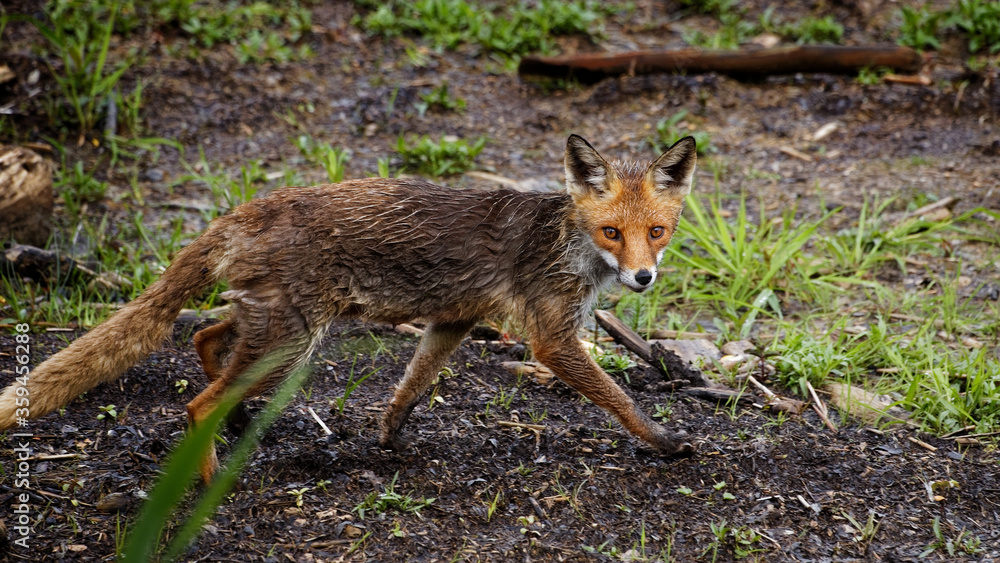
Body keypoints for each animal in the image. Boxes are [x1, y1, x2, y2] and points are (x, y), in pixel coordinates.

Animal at [0, 134, 698, 482]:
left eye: (657, 231)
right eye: (612, 232)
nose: (643, 277)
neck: (567, 242)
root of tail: (248, 208)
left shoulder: (453, 319)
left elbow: (411, 384)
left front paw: (388, 437)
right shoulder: (551, 337)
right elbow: (621, 400)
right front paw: (663, 440)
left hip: (277, 328)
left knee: (207, 341)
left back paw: (235, 423)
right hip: (291, 342)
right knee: (195, 401)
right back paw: (206, 480)